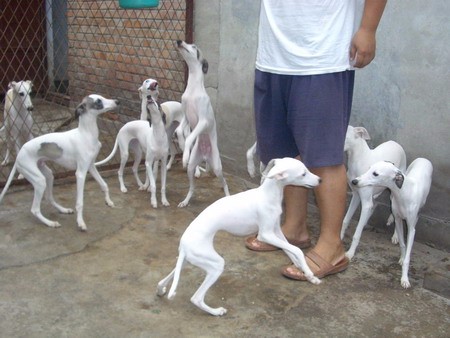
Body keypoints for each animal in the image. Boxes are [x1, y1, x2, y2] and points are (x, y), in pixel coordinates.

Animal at [0, 93, 118, 231]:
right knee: (35, 209)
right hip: (39, 180)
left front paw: (108, 201)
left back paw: (63, 210)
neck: (86, 134)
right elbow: (80, 202)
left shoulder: (91, 166)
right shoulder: (80, 173)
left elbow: (104, 185)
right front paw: (80, 222)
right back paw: (50, 223)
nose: (117, 102)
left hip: (48, 175)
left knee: (49, 197)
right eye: (98, 101)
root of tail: (19, 154)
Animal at [156, 157, 322, 316]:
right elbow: (297, 250)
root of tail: (184, 245)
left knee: (165, 279)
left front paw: (307, 274)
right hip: (215, 264)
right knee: (196, 298)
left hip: (188, 260)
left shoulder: (276, 231)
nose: (320, 180)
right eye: (303, 174)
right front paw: (309, 273)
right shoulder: (265, 235)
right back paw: (216, 311)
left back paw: (160, 289)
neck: (268, 195)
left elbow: (291, 251)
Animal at [175, 40, 229, 207]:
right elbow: (179, 131)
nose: (179, 41)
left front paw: (184, 154)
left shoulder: (203, 122)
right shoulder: (186, 117)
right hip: (192, 167)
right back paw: (185, 201)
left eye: (194, 47)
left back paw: (228, 196)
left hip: (217, 167)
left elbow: (190, 138)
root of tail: (205, 157)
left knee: (225, 183)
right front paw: (182, 147)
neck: (193, 89)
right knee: (192, 187)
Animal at [342, 127, 408, 258]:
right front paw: (338, 238)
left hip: (394, 188)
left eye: (344, 136)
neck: (359, 160)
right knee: (375, 204)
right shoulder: (356, 196)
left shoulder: (365, 200)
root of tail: (396, 143)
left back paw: (395, 235)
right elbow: (345, 220)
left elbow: (356, 234)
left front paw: (350, 253)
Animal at [352, 158, 432, 288]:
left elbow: (408, 251)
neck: (403, 192)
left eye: (375, 174)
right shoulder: (398, 219)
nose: (354, 181)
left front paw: (405, 279)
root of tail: (423, 159)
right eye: (369, 168)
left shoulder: (411, 229)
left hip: (422, 203)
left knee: (417, 216)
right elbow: (403, 244)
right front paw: (402, 257)